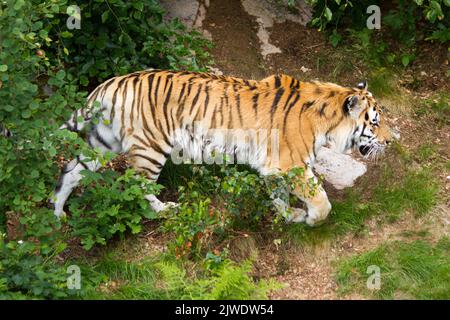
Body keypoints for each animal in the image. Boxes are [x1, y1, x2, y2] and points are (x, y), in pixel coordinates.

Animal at [51, 69, 392, 225]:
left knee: (71, 170)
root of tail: (112, 83)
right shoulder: (292, 165)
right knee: (138, 184)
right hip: (151, 147)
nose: (391, 141)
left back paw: (57, 212)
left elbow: (278, 195)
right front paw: (310, 219)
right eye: (375, 122)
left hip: (102, 143)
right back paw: (165, 210)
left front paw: (289, 215)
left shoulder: (273, 168)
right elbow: (321, 201)